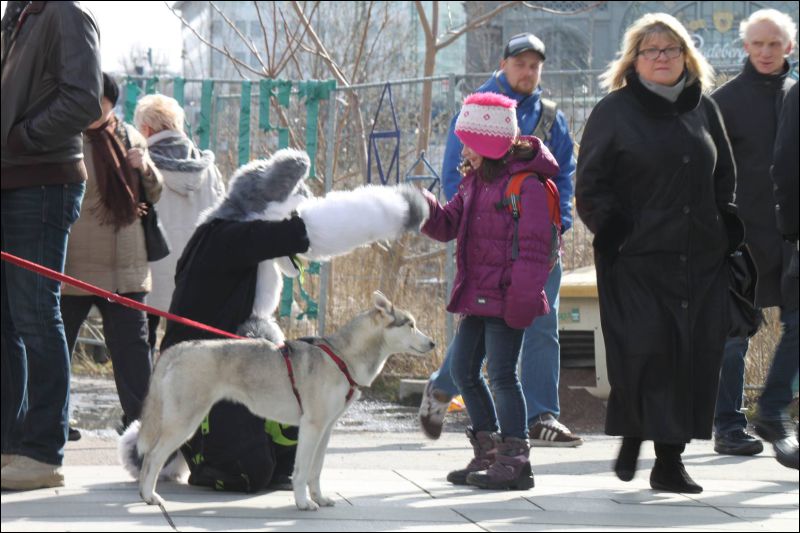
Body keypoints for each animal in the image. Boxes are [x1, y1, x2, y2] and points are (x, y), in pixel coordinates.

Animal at [131, 290, 434, 512]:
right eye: (410, 324)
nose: (433, 343)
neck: (342, 358)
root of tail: (178, 349)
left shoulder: (326, 430)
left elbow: (316, 471)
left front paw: (320, 498)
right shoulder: (311, 427)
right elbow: (301, 472)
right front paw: (303, 503)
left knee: (149, 458)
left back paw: (144, 495)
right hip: (185, 423)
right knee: (154, 456)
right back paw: (150, 496)